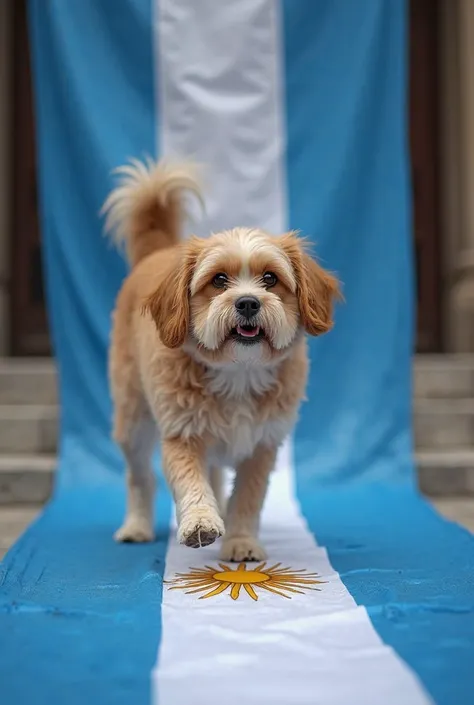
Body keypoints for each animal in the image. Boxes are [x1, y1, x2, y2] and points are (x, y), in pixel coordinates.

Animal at [103, 160, 340, 560]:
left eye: (270, 278)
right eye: (218, 280)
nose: (247, 302)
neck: (238, 374)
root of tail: (154, 254)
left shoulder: (262, 445)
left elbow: (247, 498)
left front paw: (241, 540)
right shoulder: (181, 433)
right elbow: (191, 482)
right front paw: (200, 521)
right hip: (132, 419)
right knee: (139, 476)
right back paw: (136, 525)